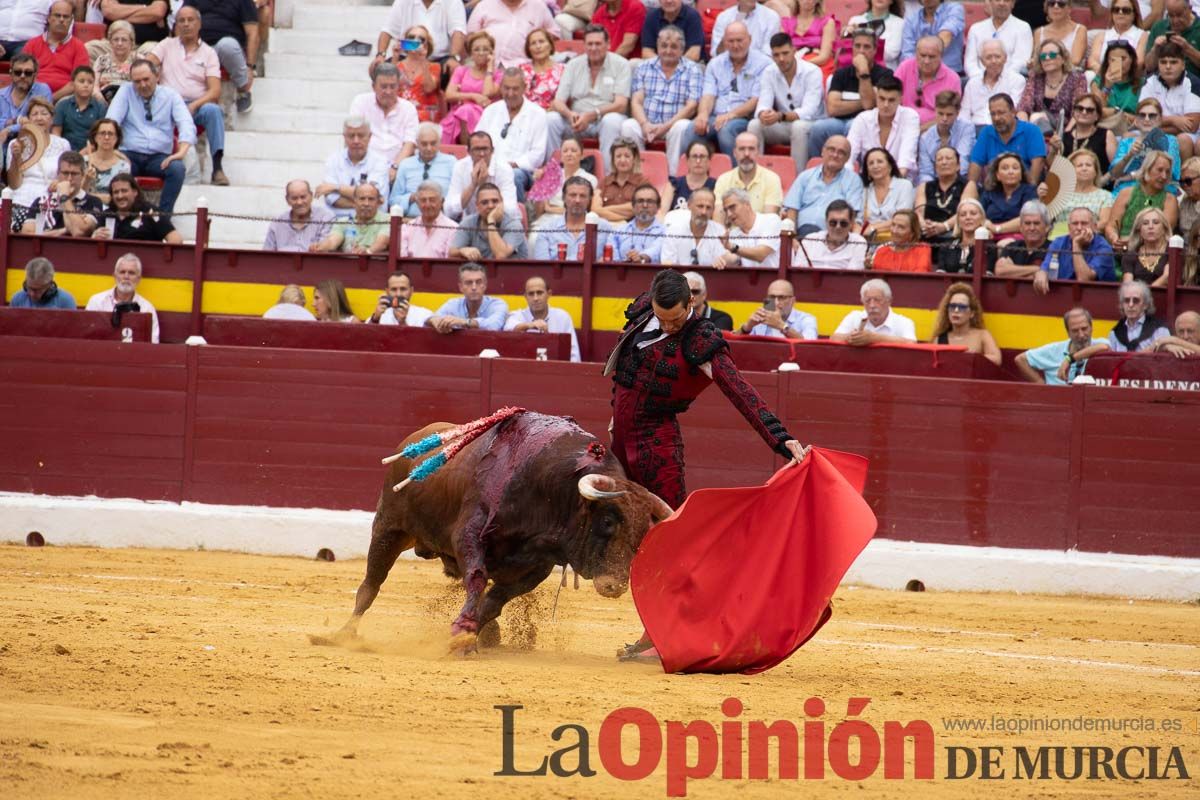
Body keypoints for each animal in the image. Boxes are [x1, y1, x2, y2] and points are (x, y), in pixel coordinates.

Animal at [333, 412, 681, 652]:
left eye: (642, 533)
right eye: (607, 522)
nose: (615, 586)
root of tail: (414, 439)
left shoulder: (536, 567)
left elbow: (494, 600)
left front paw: (471, 635)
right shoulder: (470, 536)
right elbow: (477, 578)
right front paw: (463, 634)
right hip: (389, 528)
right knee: (370, 584)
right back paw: (343, 634)